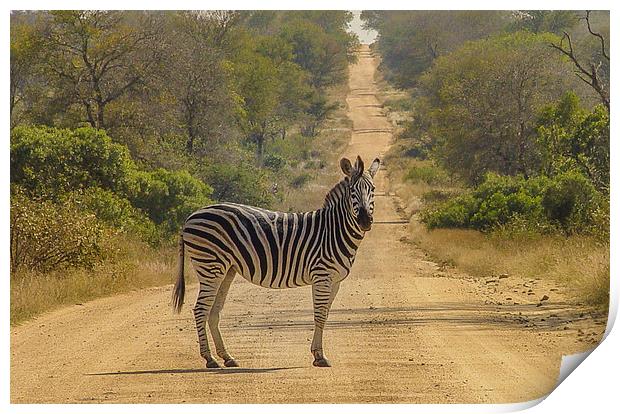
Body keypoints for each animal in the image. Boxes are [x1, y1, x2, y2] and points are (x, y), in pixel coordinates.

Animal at [172, 155, 380, 368]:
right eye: (352, 190)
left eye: (372, 189)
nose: (365, 221)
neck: (333, 230)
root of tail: (191, 216)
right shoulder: (322, 276)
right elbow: (320, 315)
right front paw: (320, 356)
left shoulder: (335, 281)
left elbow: (326, 314)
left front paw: (316, 354)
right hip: (210, 265)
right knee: (200, 309)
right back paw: (210, 358)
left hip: (226, 269)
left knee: (213, 312)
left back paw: (227, 357)